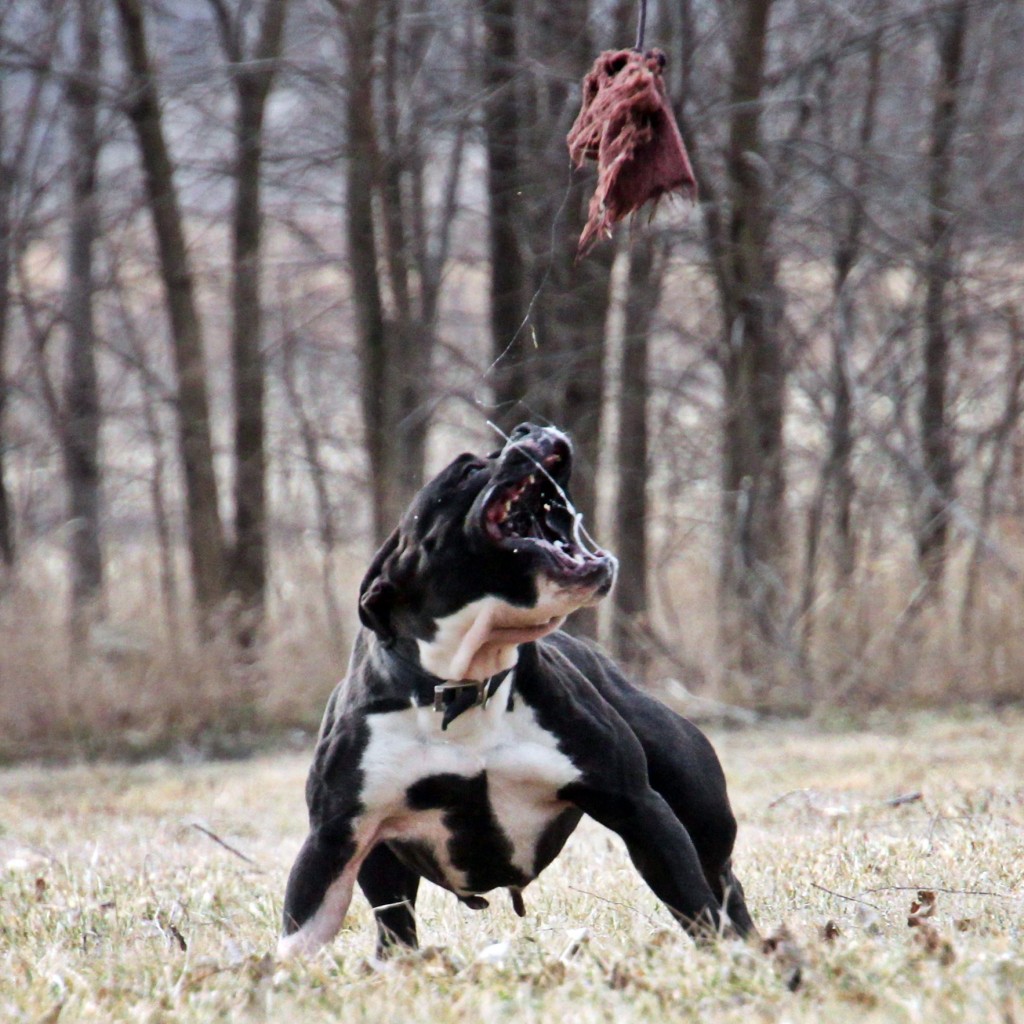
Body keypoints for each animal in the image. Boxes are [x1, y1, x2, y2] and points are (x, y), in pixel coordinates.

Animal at [276, 419, 757, 954]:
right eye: (467, 470)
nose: (528, 426)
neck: (463, 684)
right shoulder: (335, 840)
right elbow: (301, 933)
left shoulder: (640, 808)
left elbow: (697, 905)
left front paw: (725, 957)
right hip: (382, 866)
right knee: (395, 924)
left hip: (701, 809)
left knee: (722, 882)